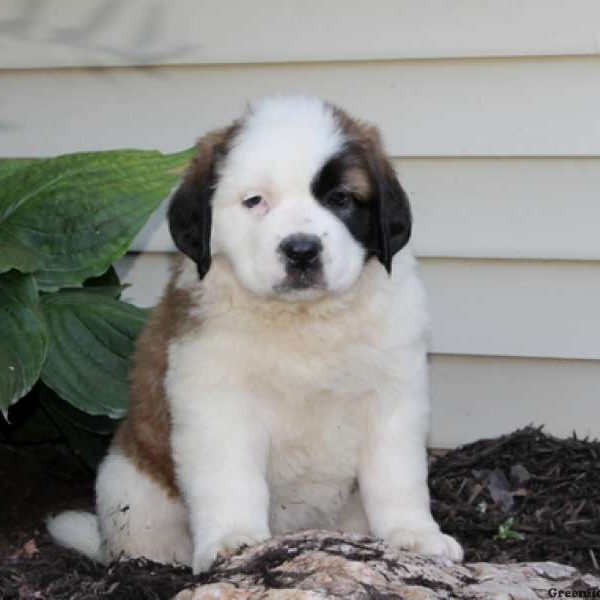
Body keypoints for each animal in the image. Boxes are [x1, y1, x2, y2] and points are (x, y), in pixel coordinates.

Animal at [51, 95, 464, 572]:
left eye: (340, 199)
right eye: (255, 201)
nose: (301, 250)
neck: (304, 320)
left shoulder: (394, 393)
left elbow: (397, 474)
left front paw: (414, 535)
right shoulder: (216, 400)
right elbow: (229, 475)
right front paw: (233, 540)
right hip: (129, 492)